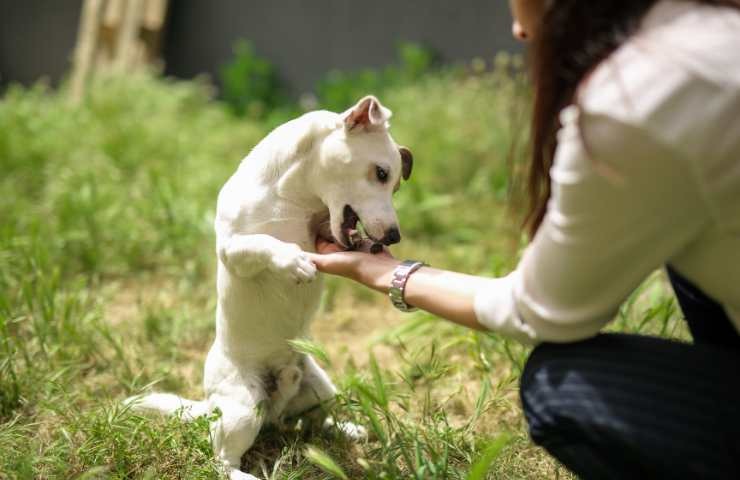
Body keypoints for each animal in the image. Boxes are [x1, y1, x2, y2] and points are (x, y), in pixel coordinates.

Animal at [129, 95, 416, 478]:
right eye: (382, 173)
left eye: (395, 184)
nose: (394, 237)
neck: (293, 197)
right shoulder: (234, 249)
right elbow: (265, 243)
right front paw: (292, 260)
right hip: (243, 410)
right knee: (222, 460)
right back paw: (245, 474)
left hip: (321, 391)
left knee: (310, 426)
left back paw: (346, 429)